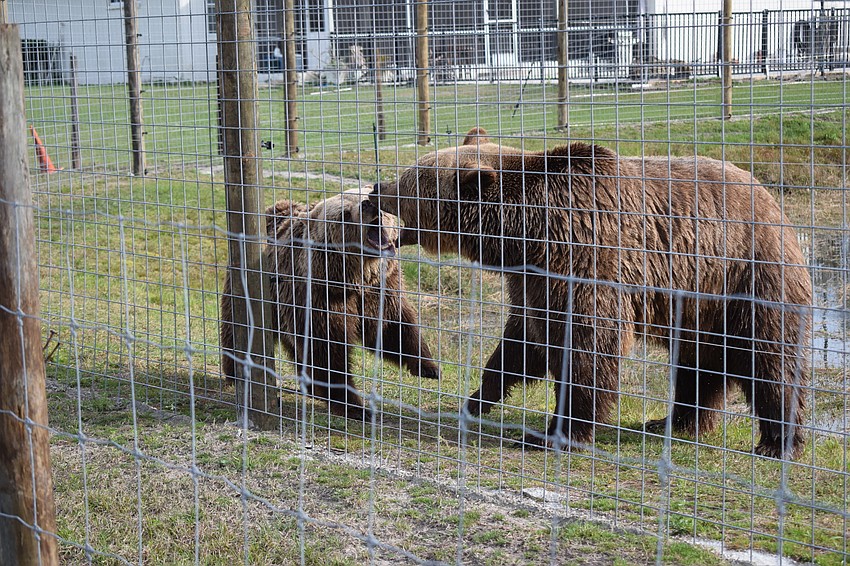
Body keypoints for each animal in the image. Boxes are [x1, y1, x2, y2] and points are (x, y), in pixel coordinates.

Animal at [221, 188, 440, 420]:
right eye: (344, 214)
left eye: (366, 194)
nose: (368, 205)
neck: (351, 278)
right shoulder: (319, 295)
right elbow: (327, 348)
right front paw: (354, 406)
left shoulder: (380, 287)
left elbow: (392, 326)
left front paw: (429, 367)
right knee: (237, 325)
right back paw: (235, 372)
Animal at [370, 127, 812, 459]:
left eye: (406, 183)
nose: (375, 189)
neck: (527, 235)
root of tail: (770, 197)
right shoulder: (534, 282)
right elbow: (521, 341)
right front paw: (477, 399)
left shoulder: (587, 261)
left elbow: (589, 349)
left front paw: (556, 434)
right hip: (698, 304)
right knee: (697, 363)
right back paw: (674, 422)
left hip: (747, 273)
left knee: (769, 358)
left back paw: (776, 443)